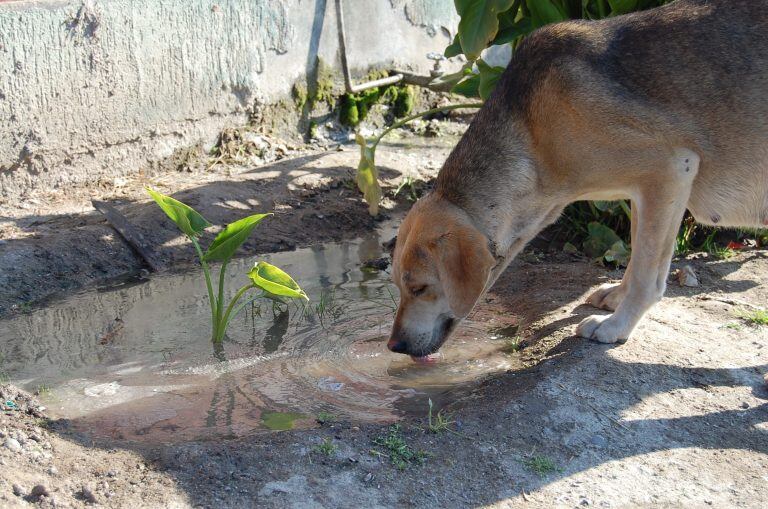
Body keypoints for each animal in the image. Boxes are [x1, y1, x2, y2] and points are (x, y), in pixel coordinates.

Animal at [390, 0, 768, 360]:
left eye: (420, 288)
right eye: (397, 285)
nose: (394, 346)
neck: (532, 131)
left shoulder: (671, 172)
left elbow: (647, 275)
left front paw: (617, 326)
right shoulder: (645, 193)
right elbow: (637, 255)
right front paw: (618, 295)